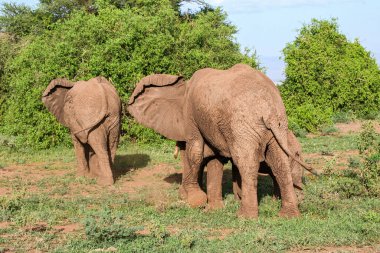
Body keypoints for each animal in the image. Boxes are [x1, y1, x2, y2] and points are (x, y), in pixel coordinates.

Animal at [127, 63, 308, 217]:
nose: (182, 194)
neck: (183, 87)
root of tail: (269, 109)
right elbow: (215, 160)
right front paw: (213, 209)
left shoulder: (190, 114)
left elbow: (195, 151)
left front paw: (195, 200)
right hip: (279, 126)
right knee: (280, 163)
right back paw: (289, 215)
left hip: (242, 124)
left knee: (246, 163)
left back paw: (245, 216)